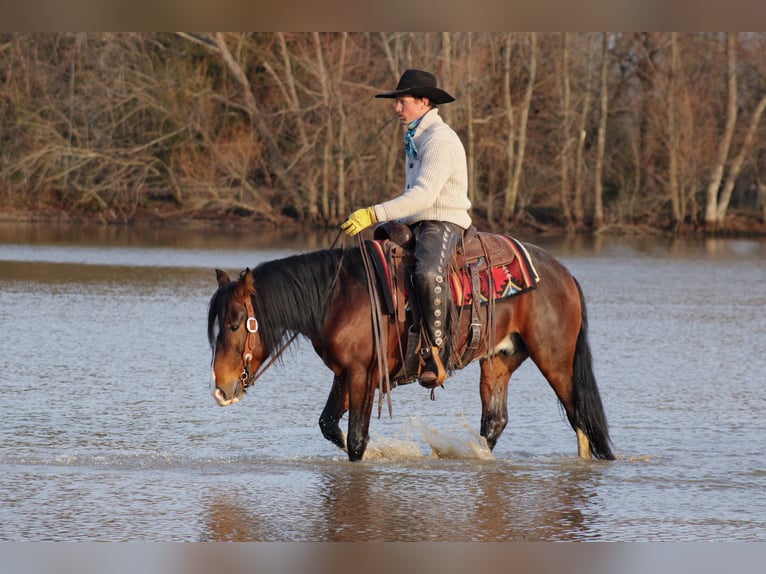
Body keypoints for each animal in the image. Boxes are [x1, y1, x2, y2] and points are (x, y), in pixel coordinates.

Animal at [207, 237, 614, 462]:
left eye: (234, 324)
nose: (221, 388)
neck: (338, 298)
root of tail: (563, 274)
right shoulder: (347, 373)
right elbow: (329, 425)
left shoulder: (362, 374)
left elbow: (356, 439)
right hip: (499, 360)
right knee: (495, 420)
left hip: (556, 360)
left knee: (581, 418)